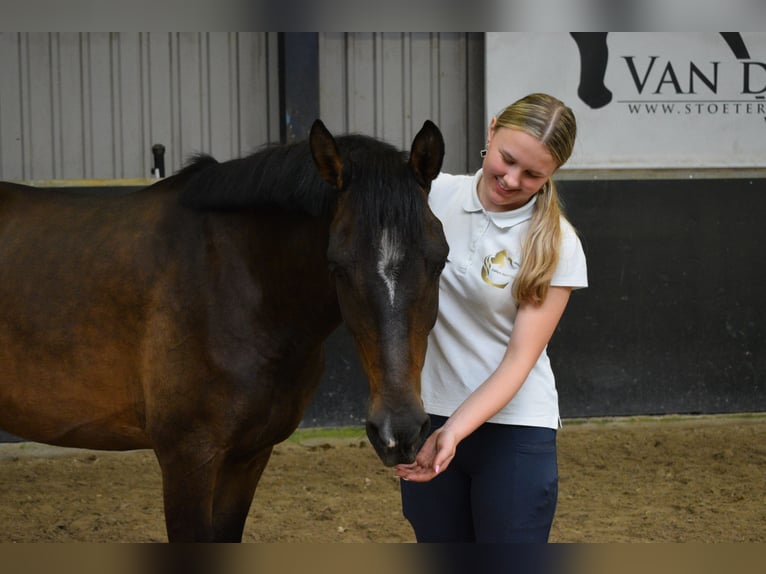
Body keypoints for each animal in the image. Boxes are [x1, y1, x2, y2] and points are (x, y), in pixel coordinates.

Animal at [0, 119, 450, 544]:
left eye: (439, 260)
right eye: (337, 265)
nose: (399, 432)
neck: (232, 283)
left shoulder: (248, 457)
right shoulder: (187, 458)